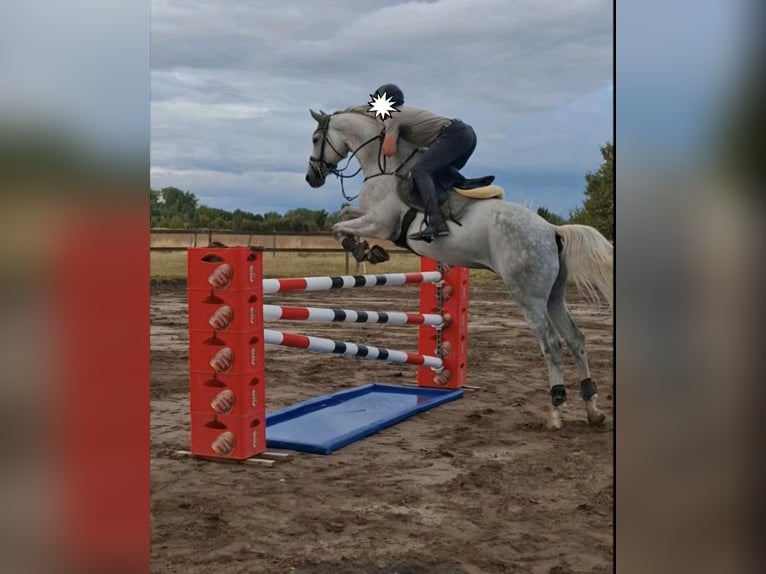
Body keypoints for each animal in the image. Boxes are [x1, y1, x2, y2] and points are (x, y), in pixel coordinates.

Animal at [305, 108, 613, 430]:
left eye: (315, 139)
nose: (311, 177)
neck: (385, 167)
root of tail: (553, 229)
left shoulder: (380, 223)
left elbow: (338, 227)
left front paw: (362, 248)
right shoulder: (368, 216)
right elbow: (343, 213)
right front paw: (368, 249)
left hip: (529, 297)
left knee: (551, 343)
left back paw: (556, 409)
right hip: (554, 296)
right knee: (576, 339)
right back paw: (592, 408)